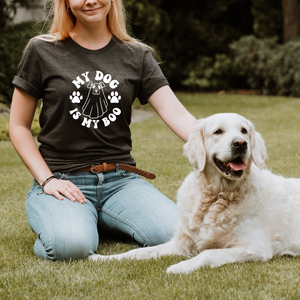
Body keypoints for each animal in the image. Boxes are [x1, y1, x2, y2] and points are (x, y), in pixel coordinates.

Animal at [89, 113, 300, 274]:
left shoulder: (255, 248)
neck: (216, 198)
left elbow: (208, 253)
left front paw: (180, 266)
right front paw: (103, 258)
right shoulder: (180, 244)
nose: (241, 144)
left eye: (244, 131)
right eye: (218, 131)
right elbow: (138, 252)